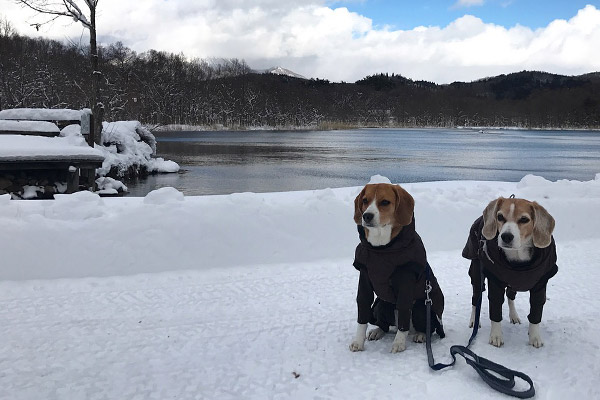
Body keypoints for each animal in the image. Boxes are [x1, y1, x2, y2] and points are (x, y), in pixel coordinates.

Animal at [350, 184, 442, 354]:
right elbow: (362, 307)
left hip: (421, 306)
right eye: (365, 200)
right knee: (385, 325)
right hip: (382, 304)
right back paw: (378, 331)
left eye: (385, 202)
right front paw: (358, 341)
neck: (381, 249)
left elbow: (404, 309)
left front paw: (399, 342)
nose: (366, 216)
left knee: (424, 326)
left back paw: (420, 334)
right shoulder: (364, 275)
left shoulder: (406, 278)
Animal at [464, 196, 556, 346]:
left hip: (513, 285)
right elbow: (495, 311)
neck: (517, 257)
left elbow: (536, 313)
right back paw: (474, 320)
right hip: (477, 275)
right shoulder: (495, 281)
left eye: (524, 219)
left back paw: (514, 316)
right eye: (500, 217)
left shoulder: (540, 285)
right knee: (476, 299)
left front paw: (535, 336)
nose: (506, 236)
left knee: (510, 296)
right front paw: (496, 335)